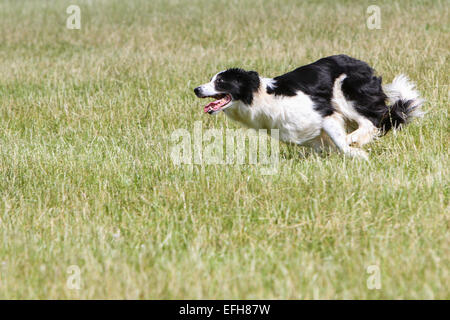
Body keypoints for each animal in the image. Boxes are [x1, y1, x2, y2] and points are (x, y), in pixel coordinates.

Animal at [193, 55, 422, 160]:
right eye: (212, 79)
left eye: (220, 81)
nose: (196, 89)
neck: (261, 97)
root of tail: (361, 64)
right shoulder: (305, 135)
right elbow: (327, 145)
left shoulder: (324, 113)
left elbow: (340, 143)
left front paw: (356, 153)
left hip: (345, 93)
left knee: (370, 122)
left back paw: (354, 139)